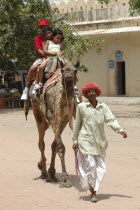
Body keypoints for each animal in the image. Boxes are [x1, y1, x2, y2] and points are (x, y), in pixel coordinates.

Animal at [26, 59, 80, 187]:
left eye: (75, 70)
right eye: (63, 70)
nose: (68, 75)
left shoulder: (65, 118)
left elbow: (55, 145)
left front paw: (53, 173)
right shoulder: (50, 113)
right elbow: (60, 146)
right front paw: (65, 178)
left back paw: (48, 172)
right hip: (37, 113)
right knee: (41, 143)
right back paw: (43, 172)